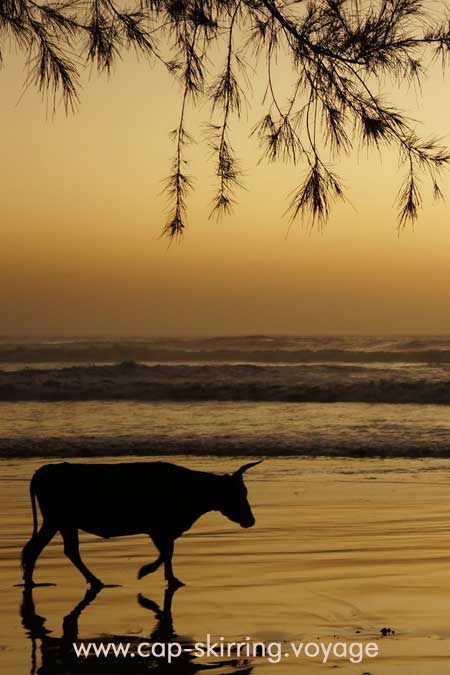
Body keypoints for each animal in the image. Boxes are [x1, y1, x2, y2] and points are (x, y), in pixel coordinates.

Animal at [21, 460, 262, 592]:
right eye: (237, 494)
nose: (251, 520)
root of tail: (42, 471)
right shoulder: (159, 529)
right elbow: (165, 553)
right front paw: (146, 571)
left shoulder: (164, 531)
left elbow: (168, 553)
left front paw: (171, 579)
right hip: (58, 520)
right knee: (47, 549)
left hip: (61, 523)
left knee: (51, 549)